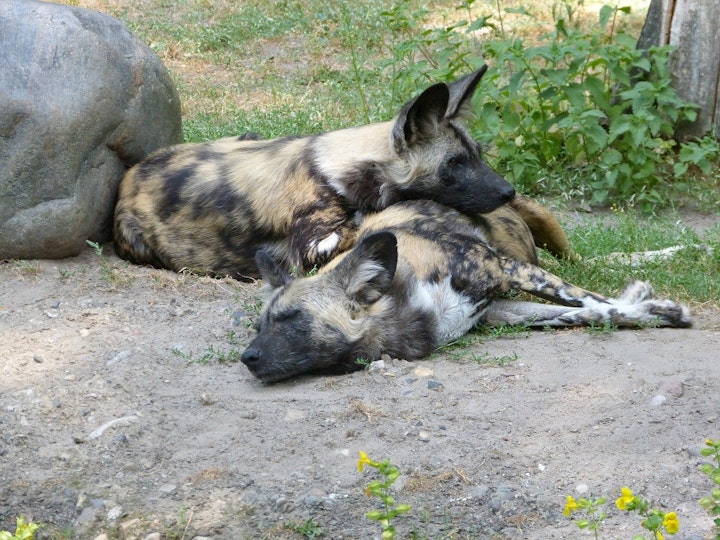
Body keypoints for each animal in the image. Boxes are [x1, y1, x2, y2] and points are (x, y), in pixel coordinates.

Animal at [114, 64, 516, 278]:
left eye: (478, 155)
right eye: (454, 164)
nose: (509, 192)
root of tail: (130, 177)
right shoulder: (311, 250)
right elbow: (363, 224)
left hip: (245, 137)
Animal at [242, 200, 692, 382]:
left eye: (292, 319)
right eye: (260, 326)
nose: (247, 358)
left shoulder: (508, 270)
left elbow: (593, 300)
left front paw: (653, 306)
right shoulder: (499, 312)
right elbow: (591, 313)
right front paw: (653, 312)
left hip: (545, 234)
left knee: (586, 264)